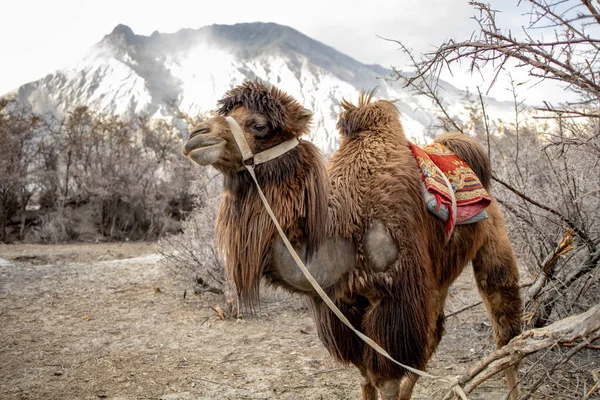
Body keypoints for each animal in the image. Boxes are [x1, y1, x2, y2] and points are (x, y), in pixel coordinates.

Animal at [180, 79, 524, 398]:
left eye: (259, 125)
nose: (196, 135)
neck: (341, 230)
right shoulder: (341, 306)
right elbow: (365, 376)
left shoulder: (395, 299)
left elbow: (386, 379)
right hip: (437, 273)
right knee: (434, 332)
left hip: (493, 239)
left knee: (505, 330)